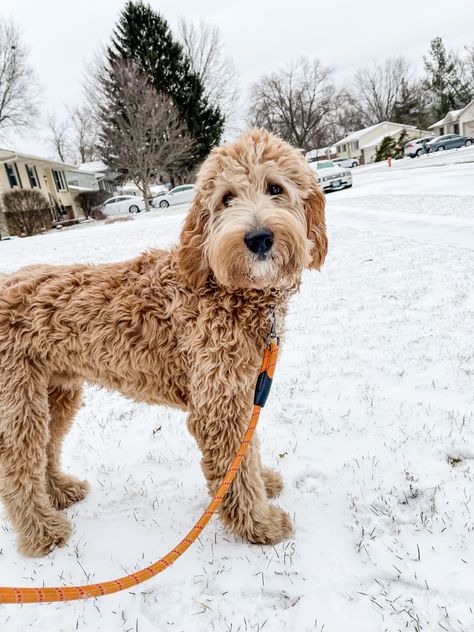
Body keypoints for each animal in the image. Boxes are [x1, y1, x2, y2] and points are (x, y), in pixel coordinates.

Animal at [0, 130, 326, 556]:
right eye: (226, 198)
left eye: (276, 188)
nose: (258, 238)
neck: (223, 286)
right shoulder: (216, 399)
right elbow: (233, 471)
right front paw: (260, 524)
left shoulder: (242, 388)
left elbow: (247, 449)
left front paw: (264, 483)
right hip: (17, 401)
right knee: (16, 467)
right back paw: (42, 532)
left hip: (57, 393)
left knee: (45, 450)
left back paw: (60, 491)